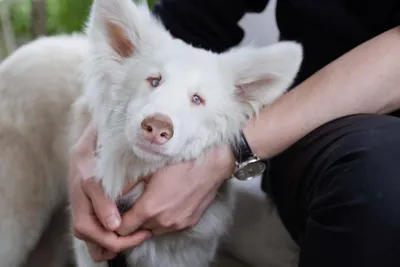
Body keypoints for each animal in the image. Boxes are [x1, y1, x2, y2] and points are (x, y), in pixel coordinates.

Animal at [0, 0, 302, 266]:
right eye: (154, 81)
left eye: (197, 99)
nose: (157, 127)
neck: (138, 181)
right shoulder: (91, 251)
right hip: (16, 227)